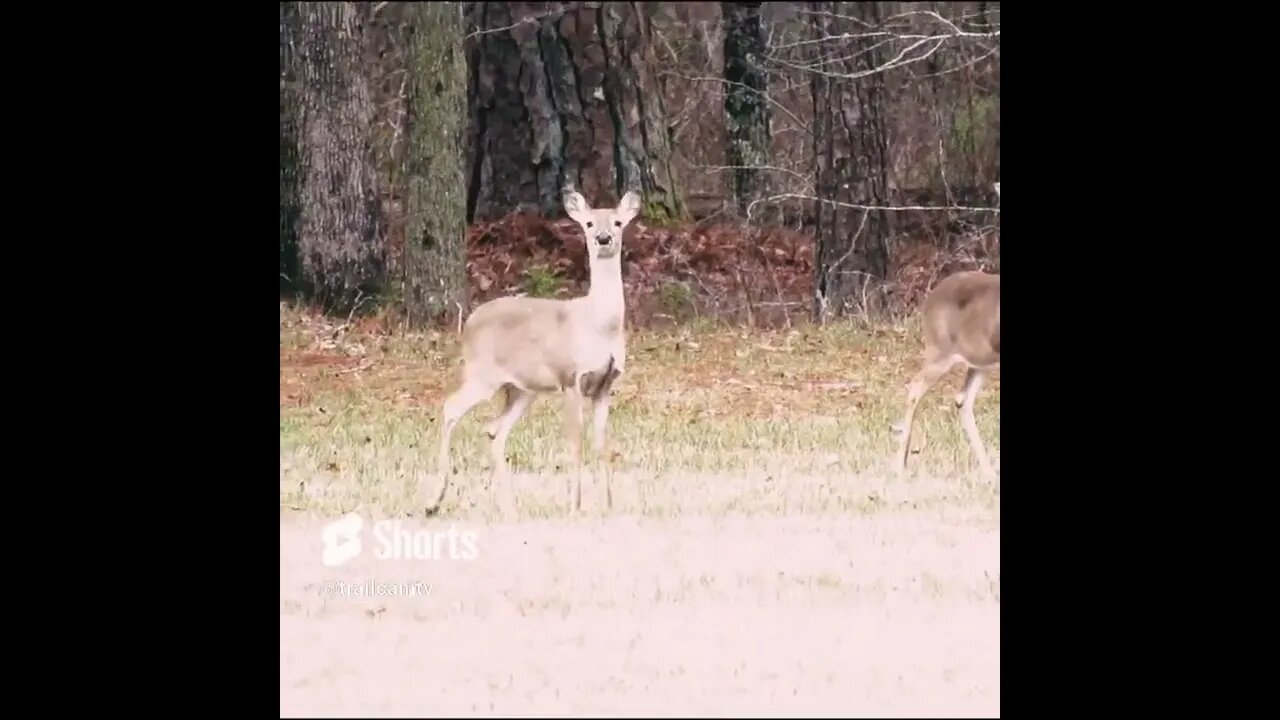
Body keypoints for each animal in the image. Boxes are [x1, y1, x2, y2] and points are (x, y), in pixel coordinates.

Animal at [424, 183, 640, 509]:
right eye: (589, 223)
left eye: (617, 222)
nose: (603, 239)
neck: (599, 326)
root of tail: (469, 323)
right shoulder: (570, 378)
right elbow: (575, 443)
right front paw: (575, 506)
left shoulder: (605, 384)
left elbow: (602, 445)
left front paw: (608, 505)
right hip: (482, 374)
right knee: (451, 408)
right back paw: (434, 501)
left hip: (522, 389)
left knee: (494, 430)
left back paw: (508, 507)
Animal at [890, 180, 998, 471]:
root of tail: (929, 298)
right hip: (939, 349)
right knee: (915, 388)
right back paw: (900, 462)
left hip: (979, 361)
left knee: (963, 401)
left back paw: (987, 469)